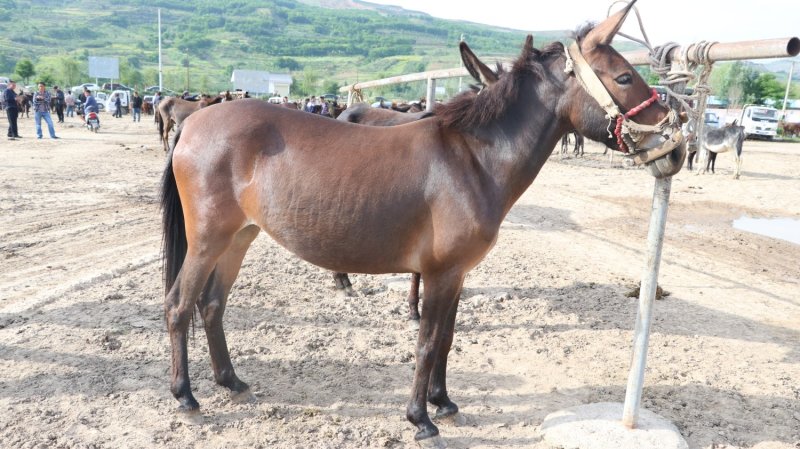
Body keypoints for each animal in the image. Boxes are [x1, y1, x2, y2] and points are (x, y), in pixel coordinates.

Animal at [160, 3, 685, 443]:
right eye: (625, 76)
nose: (676, 146)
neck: (473, 159)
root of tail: (192, 123)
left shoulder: (456, 274)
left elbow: (447, 340)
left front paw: (443, 401)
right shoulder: (439, 273)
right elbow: (428, 342)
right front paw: (420, 418)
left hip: (239, 238)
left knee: (212, 305)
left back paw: (231, 381)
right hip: (207, 239)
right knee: (179, 304)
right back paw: (186, 396)